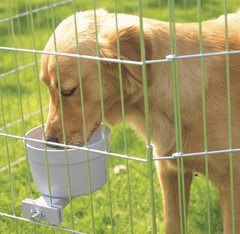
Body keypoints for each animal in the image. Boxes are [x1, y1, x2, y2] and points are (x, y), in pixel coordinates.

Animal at [40, 8, 240, 233]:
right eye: (47, 87)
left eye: (67, 90)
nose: (49, 142)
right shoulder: (171, 172)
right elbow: (172, 223)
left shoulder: (233, 184)